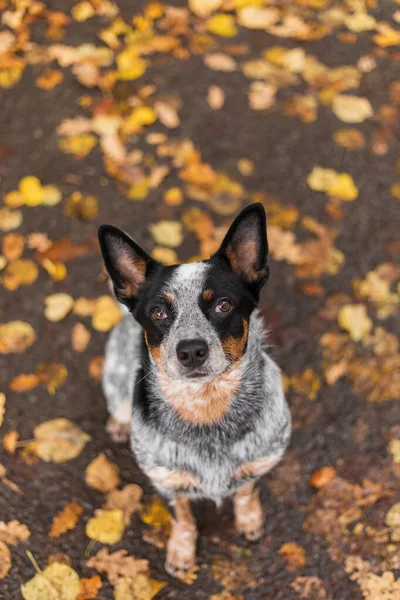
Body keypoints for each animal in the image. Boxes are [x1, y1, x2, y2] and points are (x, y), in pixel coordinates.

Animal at [97, 204, 290, 580]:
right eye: (158, 312)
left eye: (223, 305)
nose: (190, 351)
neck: (207, 409)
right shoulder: (166, 481)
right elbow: (183, 518)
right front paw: (181, 553)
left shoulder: (261, 459)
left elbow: (245, 490)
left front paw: (249, 518)